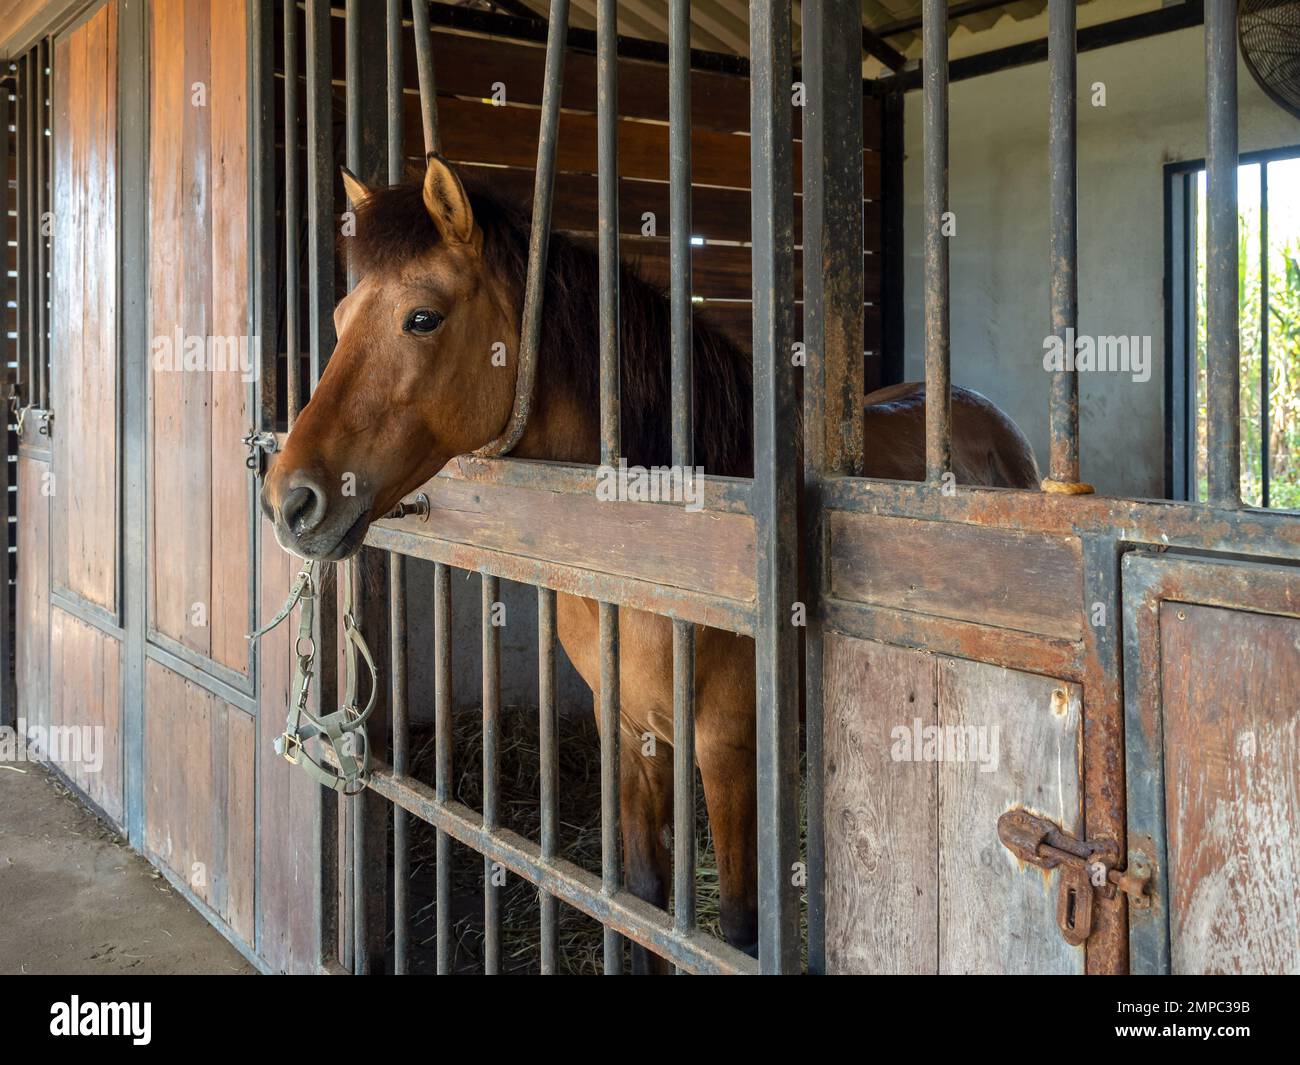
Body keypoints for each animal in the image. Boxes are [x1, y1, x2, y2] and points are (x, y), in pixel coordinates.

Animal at [261, 153, 1041, 973]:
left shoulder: (730, 750)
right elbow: (640, 903)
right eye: (340, 321)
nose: (290, 501)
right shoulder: (630, 735)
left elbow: (738, 929)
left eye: (422, 317)